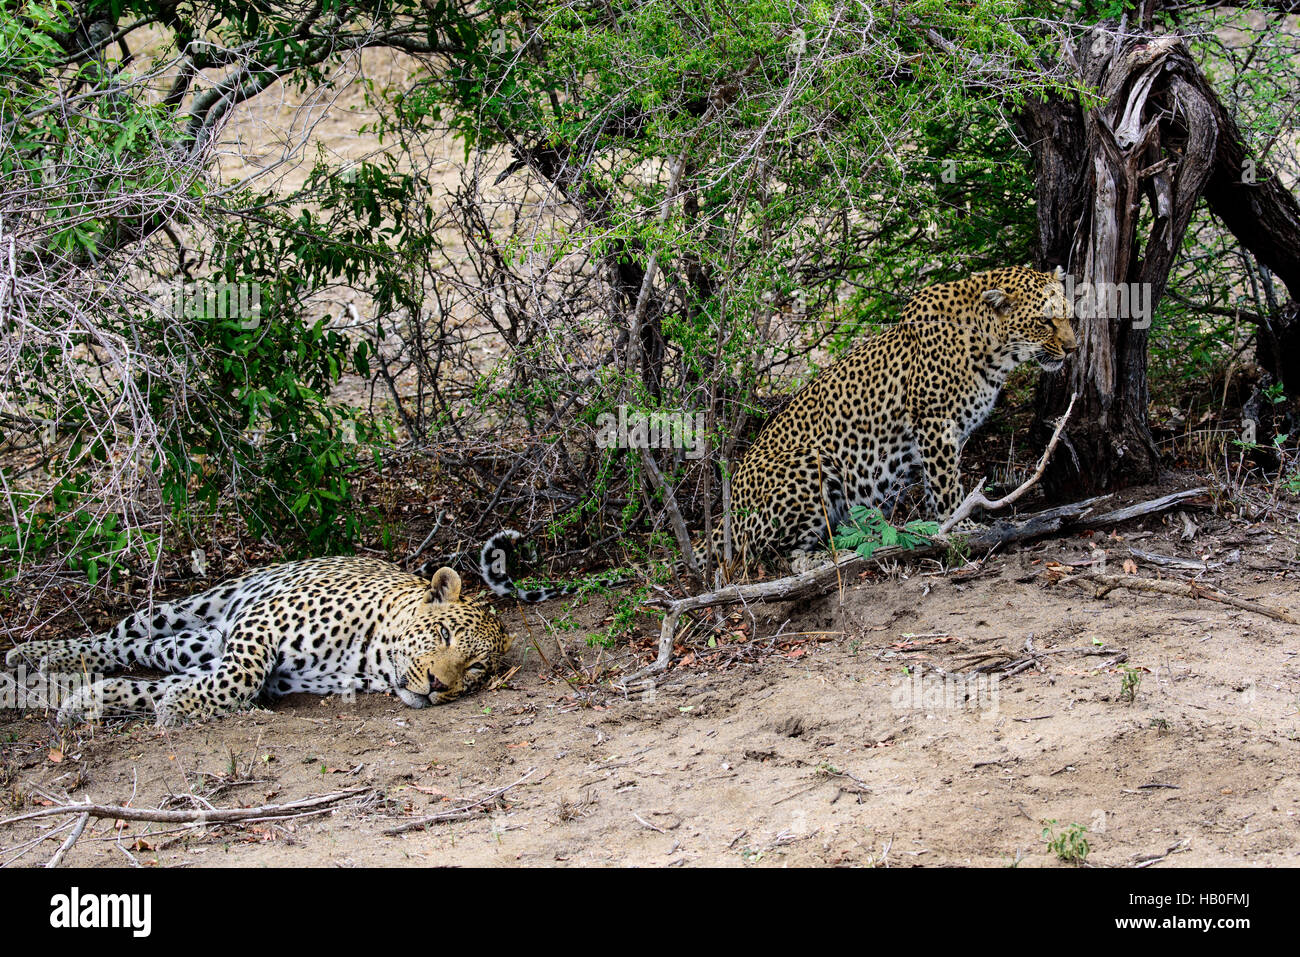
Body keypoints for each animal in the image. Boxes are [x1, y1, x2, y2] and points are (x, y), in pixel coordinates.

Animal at [5, 556, 512, 722]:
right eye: (443, 633)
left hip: (198, 643)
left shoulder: (270, 678)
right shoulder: (260, 626)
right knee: (119, 637)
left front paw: (96, 700)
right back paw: (36, 653)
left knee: (144, 654)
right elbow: (238, 679)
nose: (438, 685)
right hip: (192, 607)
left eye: (474, 668)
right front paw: (180, 707)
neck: (372, 657)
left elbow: (171, 688)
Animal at [712, 265, 1076, 564]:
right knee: (773, 556)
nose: (1073, 348)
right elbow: (947, 484)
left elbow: (936, 483)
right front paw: (961, 525)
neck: (992, 351)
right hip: (809, 462)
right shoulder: (935, 423)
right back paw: (826, 556)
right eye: (1044, 321)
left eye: (1068, 315)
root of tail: (724, 519)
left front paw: (938, 523)